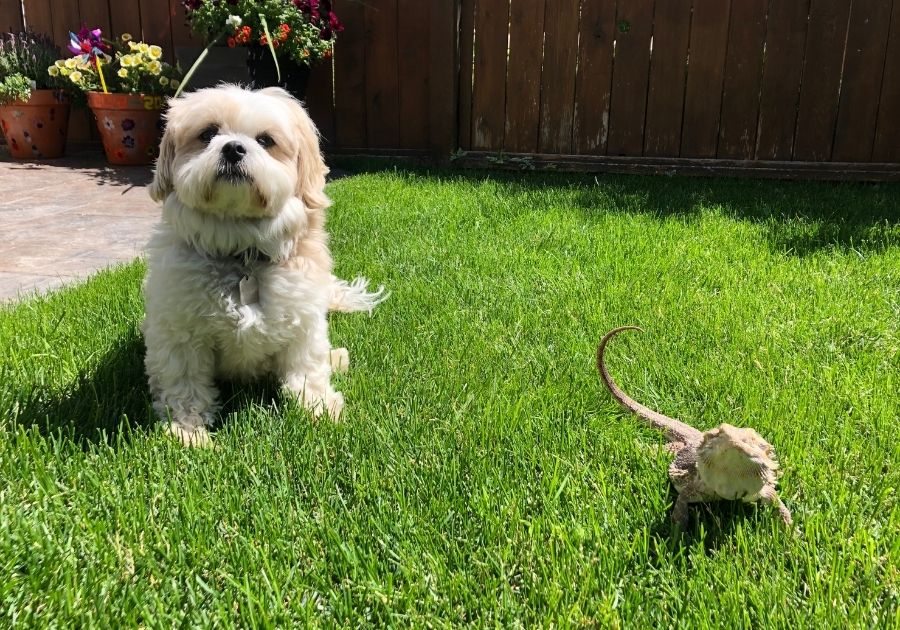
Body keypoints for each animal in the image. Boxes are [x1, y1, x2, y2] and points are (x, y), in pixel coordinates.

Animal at [142, 85, 384, 450]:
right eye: (207, 133)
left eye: (266, 140)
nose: (233, 147)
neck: (242, 252)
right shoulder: (179, 334)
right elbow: (184, 386)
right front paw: (189, 433)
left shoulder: (303, 322)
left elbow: (307, 370)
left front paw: (320, 410)